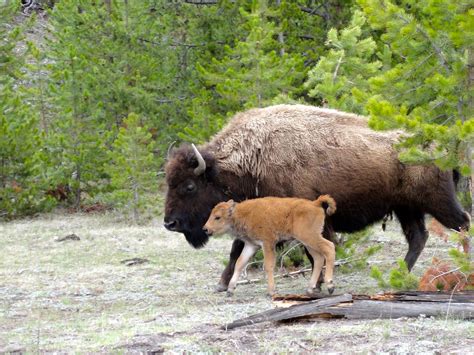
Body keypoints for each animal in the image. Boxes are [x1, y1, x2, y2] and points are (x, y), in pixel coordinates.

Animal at [204, 196, 336, 296]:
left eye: (217, 217)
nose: (205, 229)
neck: (242, 214)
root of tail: (315, 203)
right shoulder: (251, 245)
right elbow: (240, 263)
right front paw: (230, 290)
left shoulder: (267, 243)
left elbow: (268, 265)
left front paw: (271, 291)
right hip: (308, 242)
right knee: (319, 258)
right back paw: (310, 288)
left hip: (310, 237)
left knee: (329, 247)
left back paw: (330, 285)